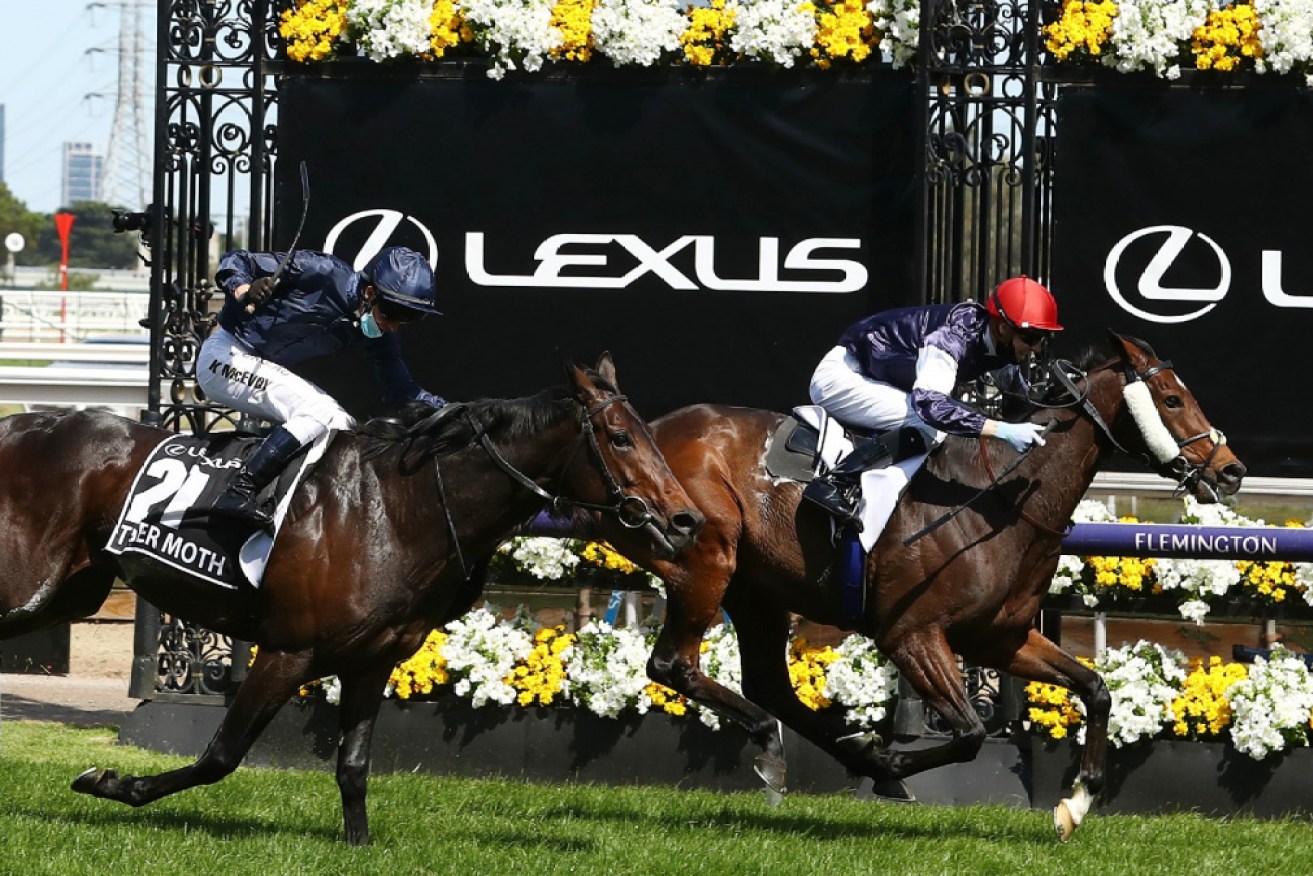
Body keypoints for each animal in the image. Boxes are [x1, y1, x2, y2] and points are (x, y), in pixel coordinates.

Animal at [0, 354, 709, 840]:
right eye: (620, 438)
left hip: (67, 593)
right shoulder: (287, 651)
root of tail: (18, 426)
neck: (396, 510)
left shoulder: (373, 661)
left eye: (650, 433)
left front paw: (359, 844)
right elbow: (220, 756)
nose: (685, 520)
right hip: (27, 588)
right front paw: (109, 781)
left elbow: (354, 765)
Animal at [577, 333, 1239, 840]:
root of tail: (639, 432)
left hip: (757, 590)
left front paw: (1074, 804)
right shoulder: (912, 634)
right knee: (672, 665)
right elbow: (970, 732)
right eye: (1172, 398)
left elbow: (1095, 688)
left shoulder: (998, 638)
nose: (1231, 470)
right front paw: (890, 756)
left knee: (767, 684)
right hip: (704, 561)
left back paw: (834, 754)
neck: (1002, 498)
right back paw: (838, 757)